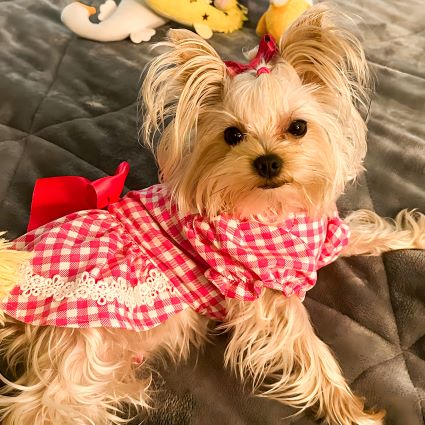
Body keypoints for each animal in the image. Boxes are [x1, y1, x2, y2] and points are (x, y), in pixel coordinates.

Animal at [0, 4, 422, 424]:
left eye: (298, 127)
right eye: (232, 135)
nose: (268, 162)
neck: (271, 212)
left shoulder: (318, 237)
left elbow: (367, 234)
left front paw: (415, 235)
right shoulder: (264, 295)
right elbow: (311, 347)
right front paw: (349, 409)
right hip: (79, 345)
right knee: (38, 408)